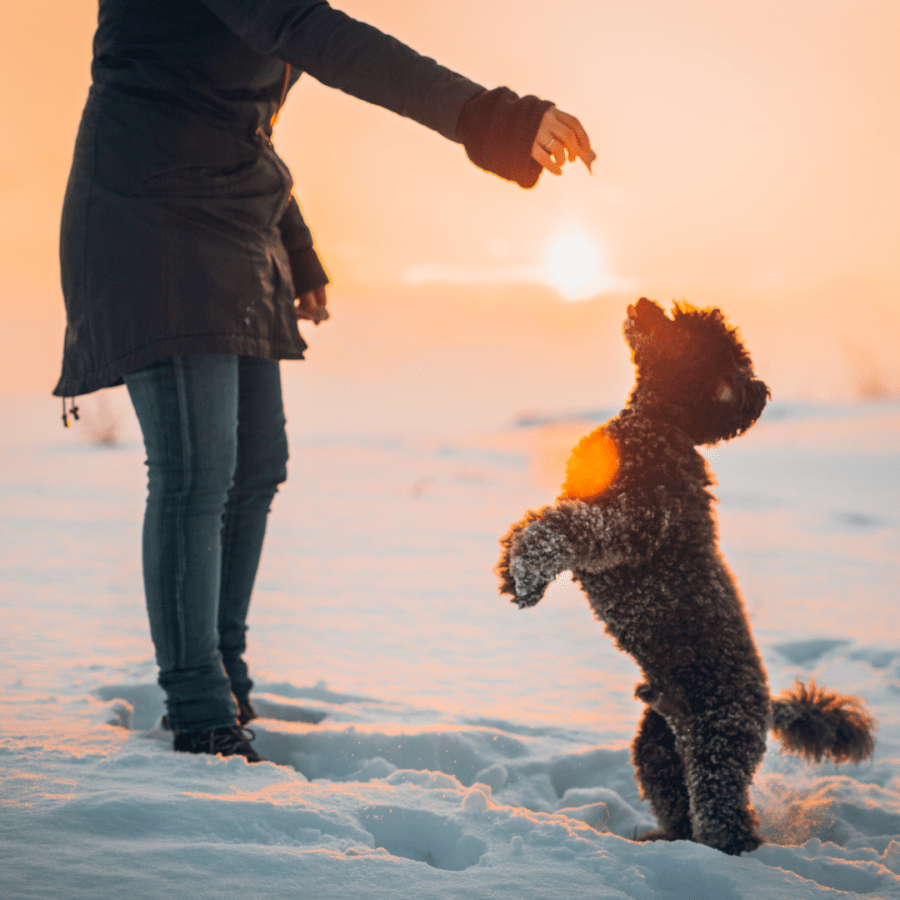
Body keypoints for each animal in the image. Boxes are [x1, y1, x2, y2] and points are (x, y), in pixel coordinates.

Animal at [496, 298, 876, 856]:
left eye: (685, 325)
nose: (643, 303)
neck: (657, 424)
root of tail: (766, 707)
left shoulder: (630, 526)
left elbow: (559, 527)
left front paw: (526, 572)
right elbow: (549, 518)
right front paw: (515, 567)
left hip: (718, 745)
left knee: (726, 819)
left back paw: (725, 854)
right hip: (656, 746)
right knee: (678, 803)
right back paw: (664, 840)